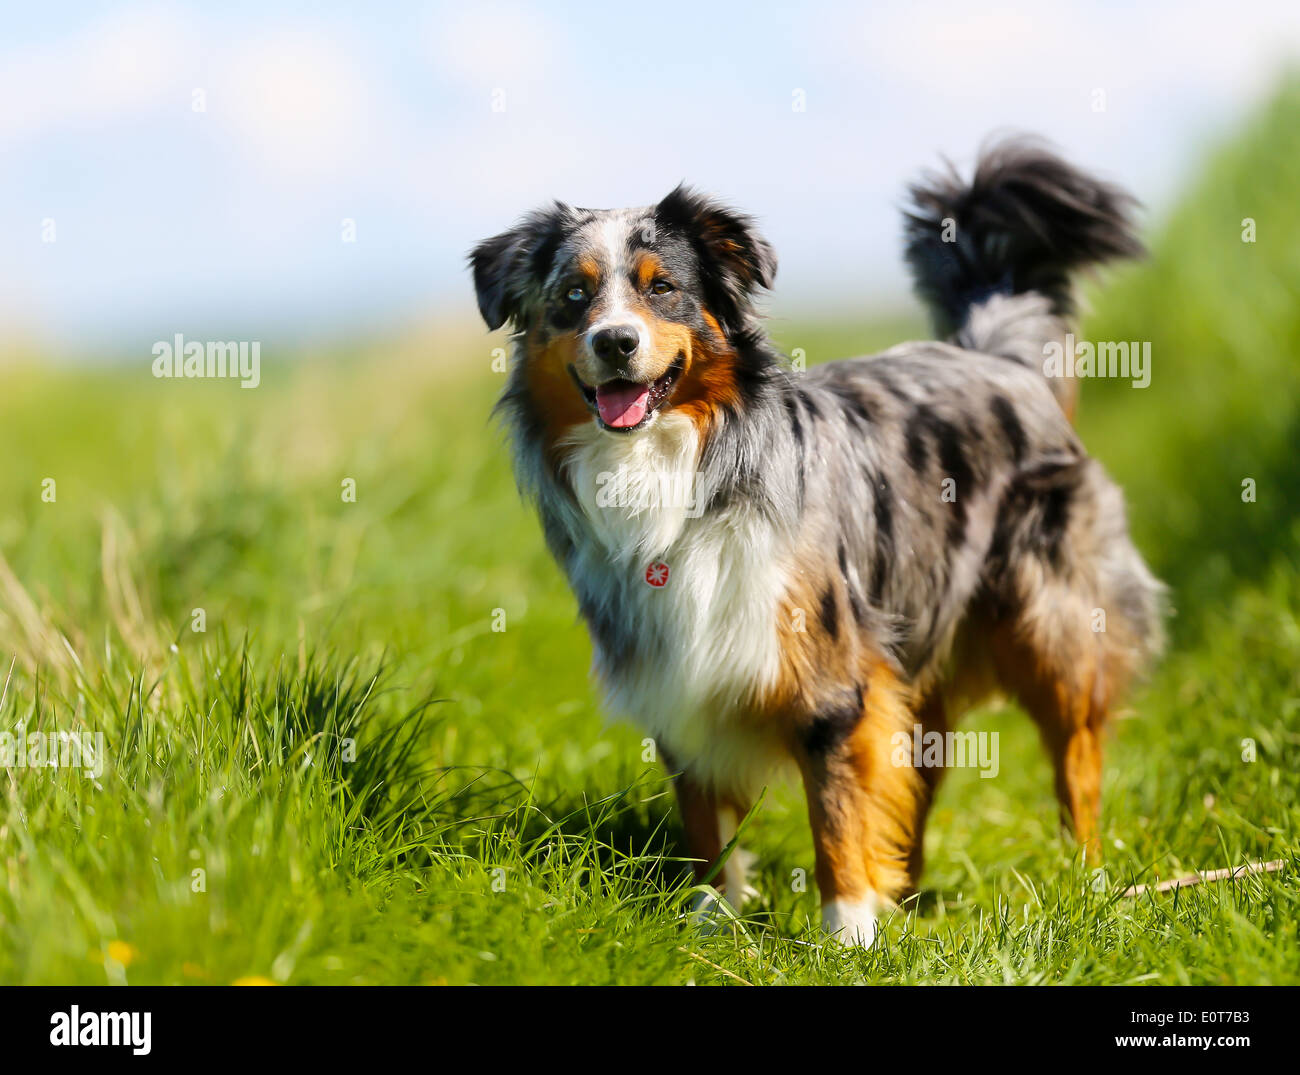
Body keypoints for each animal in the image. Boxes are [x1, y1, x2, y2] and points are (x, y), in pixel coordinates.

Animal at [470, 136, 1170, 951]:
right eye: (575, 296)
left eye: (662, 288)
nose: (616, 341)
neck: (681, 468)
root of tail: (1001, 359)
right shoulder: (674, 673)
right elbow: (707, 823)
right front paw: (711, 924)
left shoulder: (828, 675)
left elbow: (836, 812)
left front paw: (848, 937)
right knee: (918, 776)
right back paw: (909, 894)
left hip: (1053, 628)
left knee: (1075, 759)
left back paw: (1085, 883)